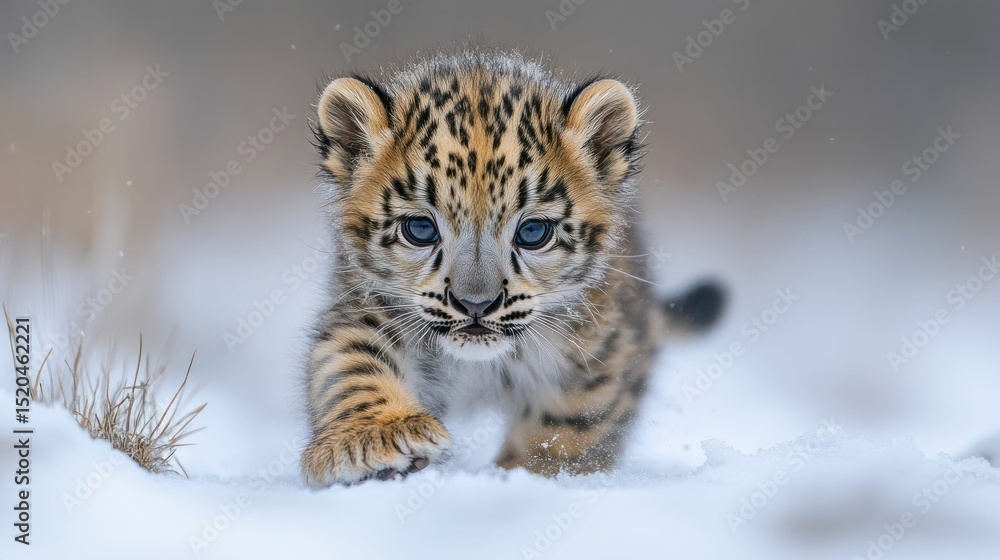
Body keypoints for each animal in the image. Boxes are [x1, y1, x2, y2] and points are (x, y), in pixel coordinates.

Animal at [300, 49, 723, 486]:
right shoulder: (368, 307)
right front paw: (378, 438)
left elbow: (570, 427)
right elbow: (352, 363)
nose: (475, 305)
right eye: (420, 229)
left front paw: (526, 476)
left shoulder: (606, 347)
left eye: (533, 232)